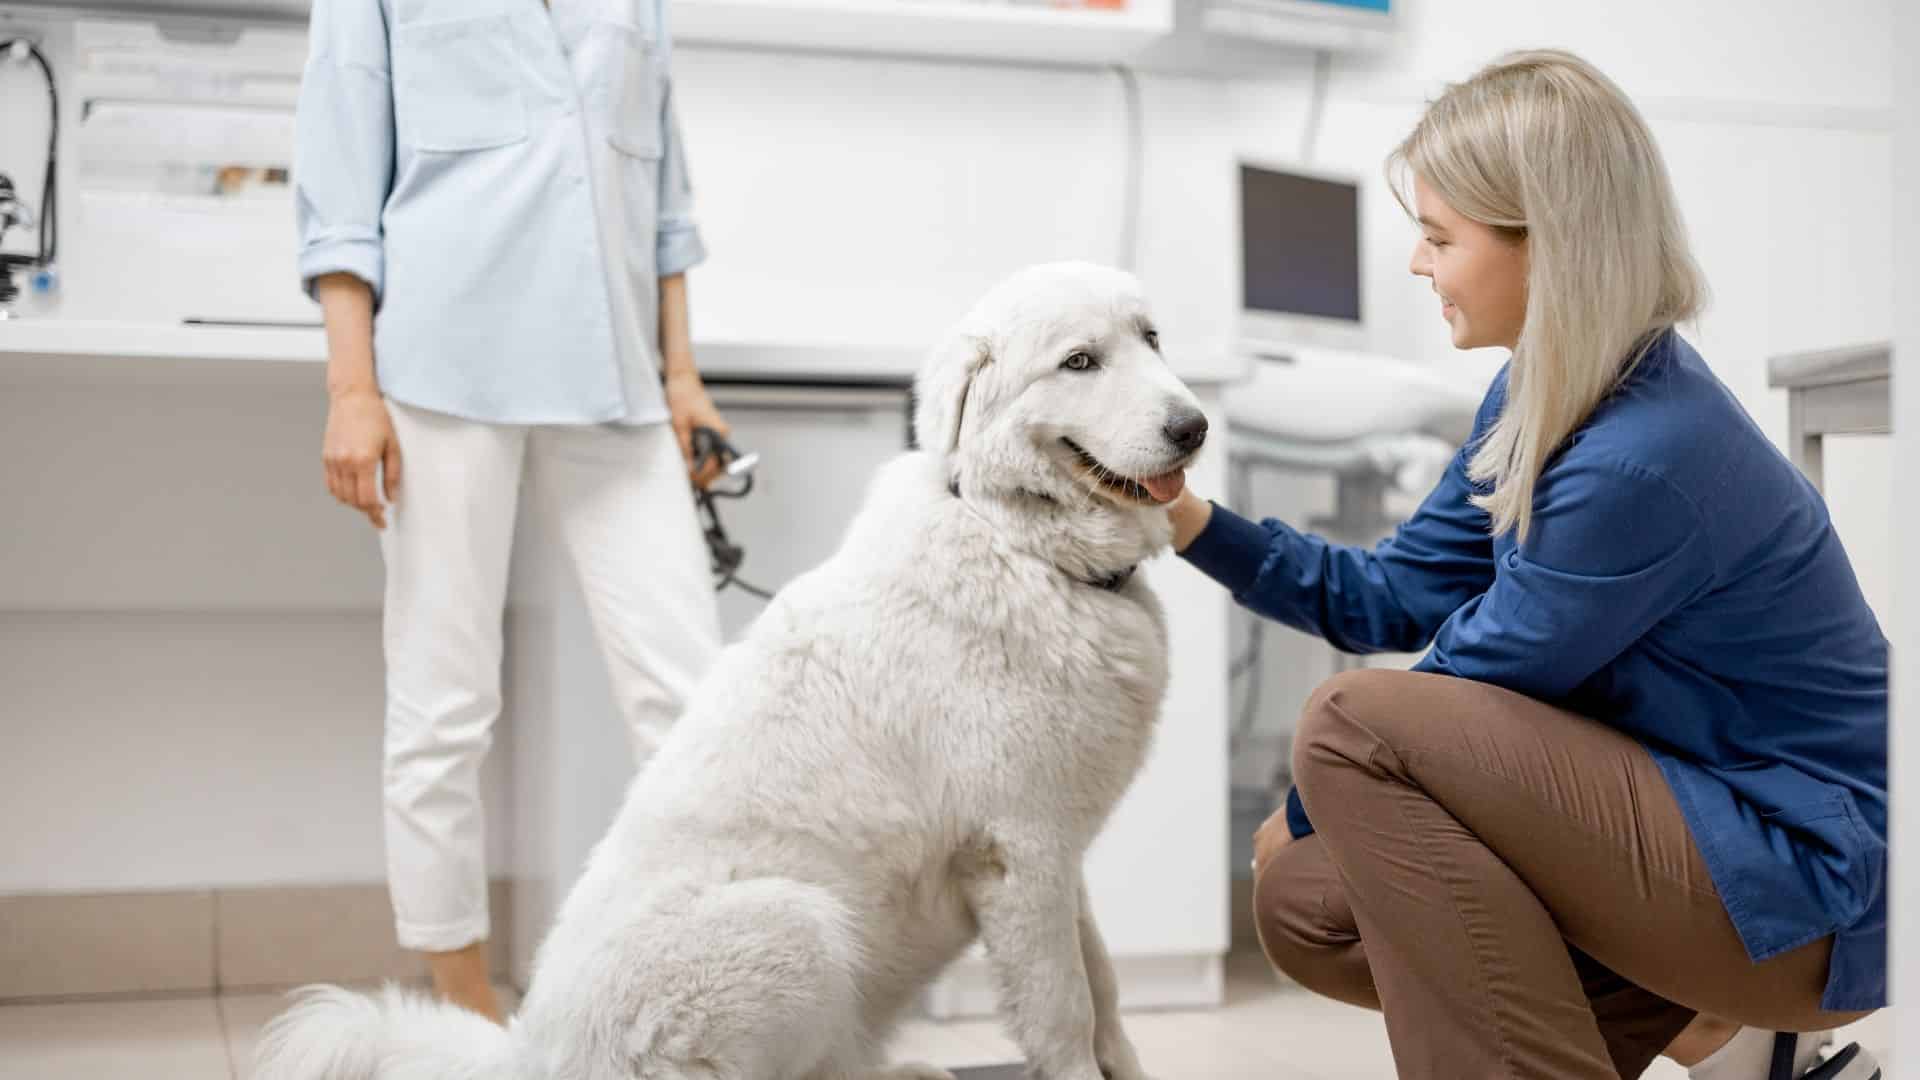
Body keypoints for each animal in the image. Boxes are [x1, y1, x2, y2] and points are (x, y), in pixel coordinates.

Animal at [255, 261, 1205, 1076]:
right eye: (1078, 361)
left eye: (1152, 338)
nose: (1195, 426)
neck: (1023, 545)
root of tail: (527, 1057)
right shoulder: (1020, 852)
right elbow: (1063, 1011)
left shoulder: (1057, 853)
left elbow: (1105, 989)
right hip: (795, 922)